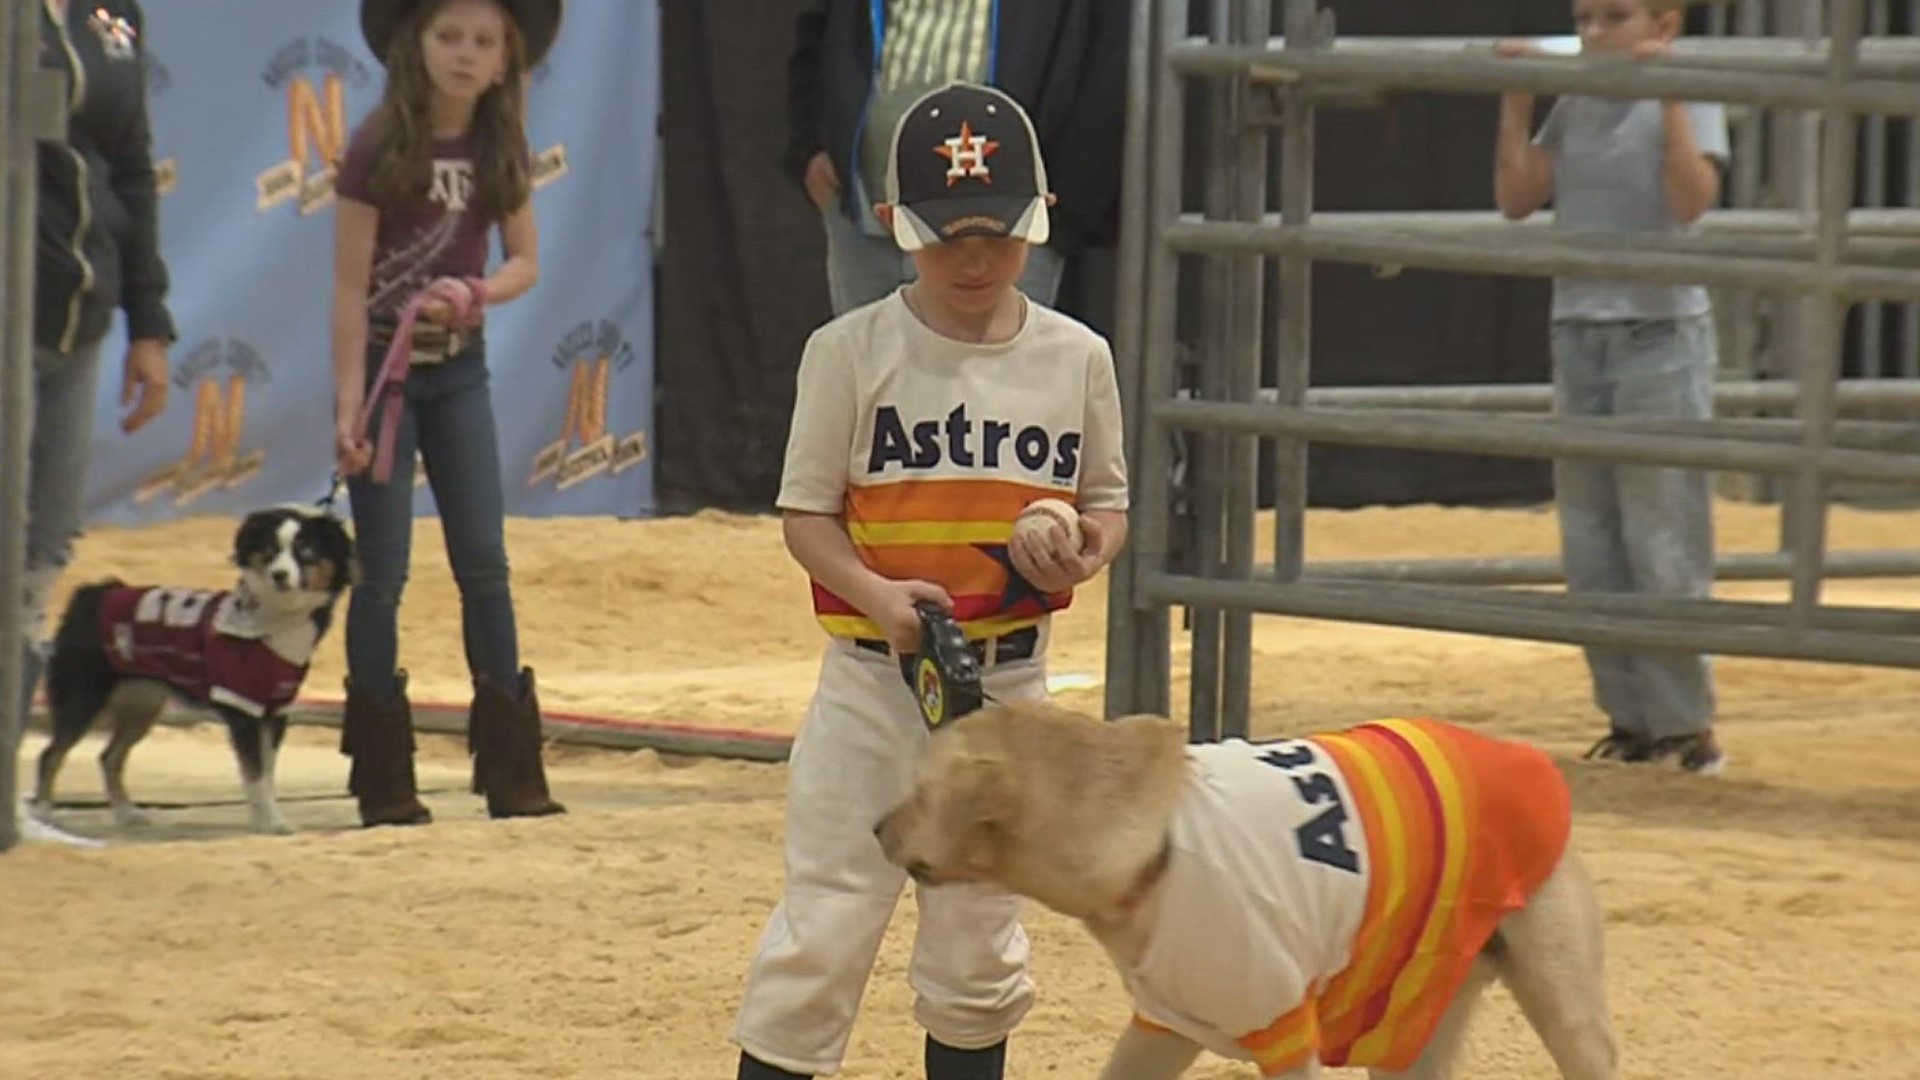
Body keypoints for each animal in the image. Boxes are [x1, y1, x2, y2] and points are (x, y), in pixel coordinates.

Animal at [30, 503, 357, 834]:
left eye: (306, 552)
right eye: (269, 551)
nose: (279, 575)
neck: (274, 620)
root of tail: (93, 592)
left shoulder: (275, 710)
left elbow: (266, 775)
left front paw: (267, 819)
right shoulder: (243, 709)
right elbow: (254, 775)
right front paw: (270, 822)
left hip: (141, 706)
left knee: (109, 757)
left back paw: (127, 814)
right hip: (83, 697)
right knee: (51, 754)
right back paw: (44, 813)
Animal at [879, 699, 1612, 1076]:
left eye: (921, 791)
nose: (876, 827)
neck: (1154, 840)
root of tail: (1529, 762)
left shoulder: (1285, 1033)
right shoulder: (1164, 1026)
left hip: (1565, 1005)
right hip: (1416, 1013)